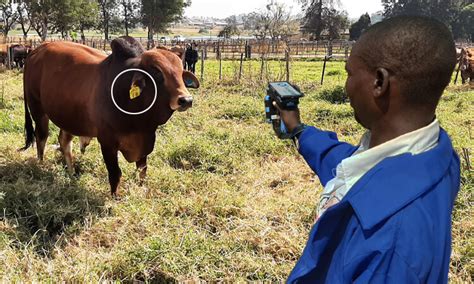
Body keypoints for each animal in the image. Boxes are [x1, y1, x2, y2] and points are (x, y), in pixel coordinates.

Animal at [21, 36, 199, 196]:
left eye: (180, 72)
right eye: (157, 72)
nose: (186, 100)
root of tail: (37, 49)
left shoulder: (145, 140)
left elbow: (142, 170)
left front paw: (142, 190)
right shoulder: (107, 142)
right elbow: (115, 173)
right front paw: (114, 198)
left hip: (69, 117)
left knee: (64, 142)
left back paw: (71, 174)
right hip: (37, 108)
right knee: (41, 137)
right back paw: (41, 165)